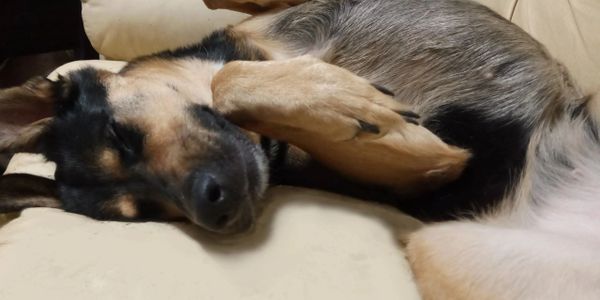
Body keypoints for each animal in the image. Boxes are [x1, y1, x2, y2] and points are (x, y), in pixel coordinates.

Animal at [1, 0, 600, 298]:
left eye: (121, 136)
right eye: (147, 215)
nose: (217, 212)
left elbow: (230, 69)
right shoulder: (437, 163)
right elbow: (237, 86)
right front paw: (341, 100)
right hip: (445, 248)